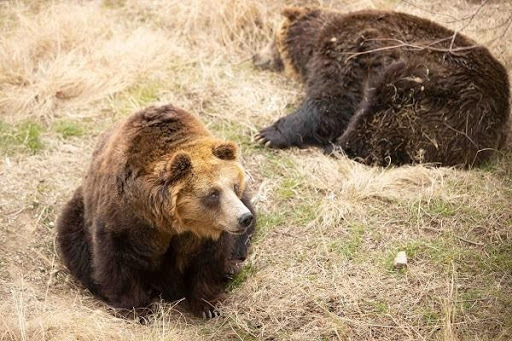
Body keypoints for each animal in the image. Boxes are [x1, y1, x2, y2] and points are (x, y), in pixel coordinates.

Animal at [56, 103, 256, 316]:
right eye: (213, 193)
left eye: (234, 186)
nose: (244, 218)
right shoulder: (126, 219)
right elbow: (118, 260)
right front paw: (138, 309)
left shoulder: (206, 230)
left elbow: (208, 260)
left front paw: (209, 305)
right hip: (79, 213)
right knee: (74, 241)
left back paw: (232, 266)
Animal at [254, 7, 510, 167]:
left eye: (271, 38)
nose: (256, 57)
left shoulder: (348, 52)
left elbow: (331, 102)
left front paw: (267, 134)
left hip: (437, 92)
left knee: (379, 117)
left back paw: (336, 147)